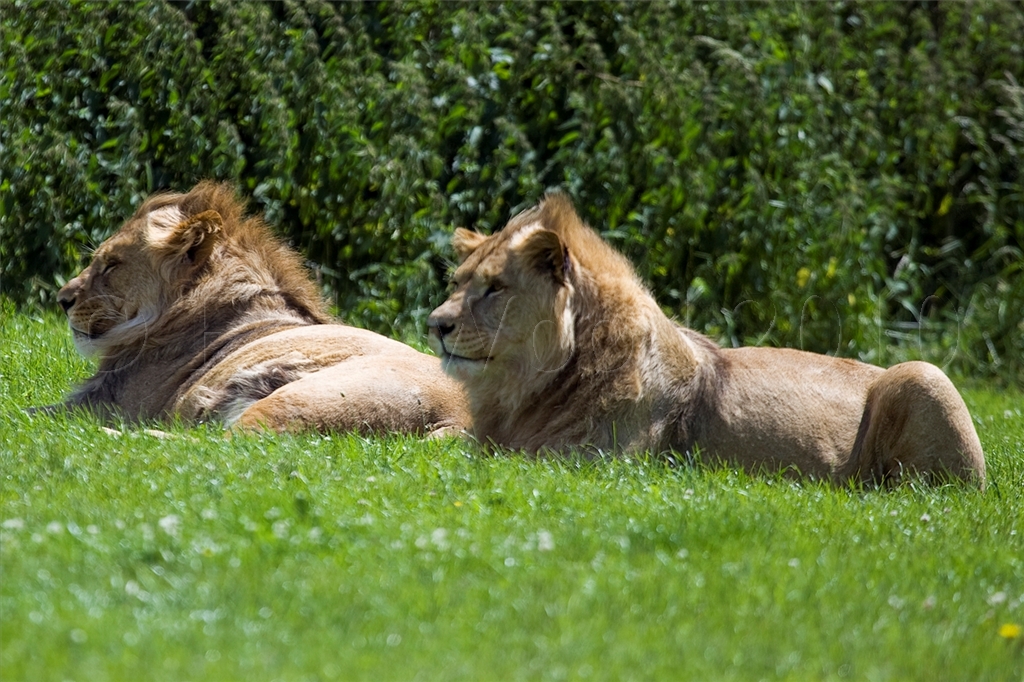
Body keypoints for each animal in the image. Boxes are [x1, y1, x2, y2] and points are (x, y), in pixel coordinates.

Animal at [46, 181, 469, 436]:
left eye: (111, 265)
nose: (62, 299)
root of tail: (462, 419)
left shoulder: (110, 402)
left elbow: (36, 412)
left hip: (300, 401)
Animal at [427, 192, 986, 486]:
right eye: (457, 283)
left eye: (495, 288)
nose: (435, 324)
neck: (525, 392)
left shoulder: (594, 465)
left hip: (923, 376)